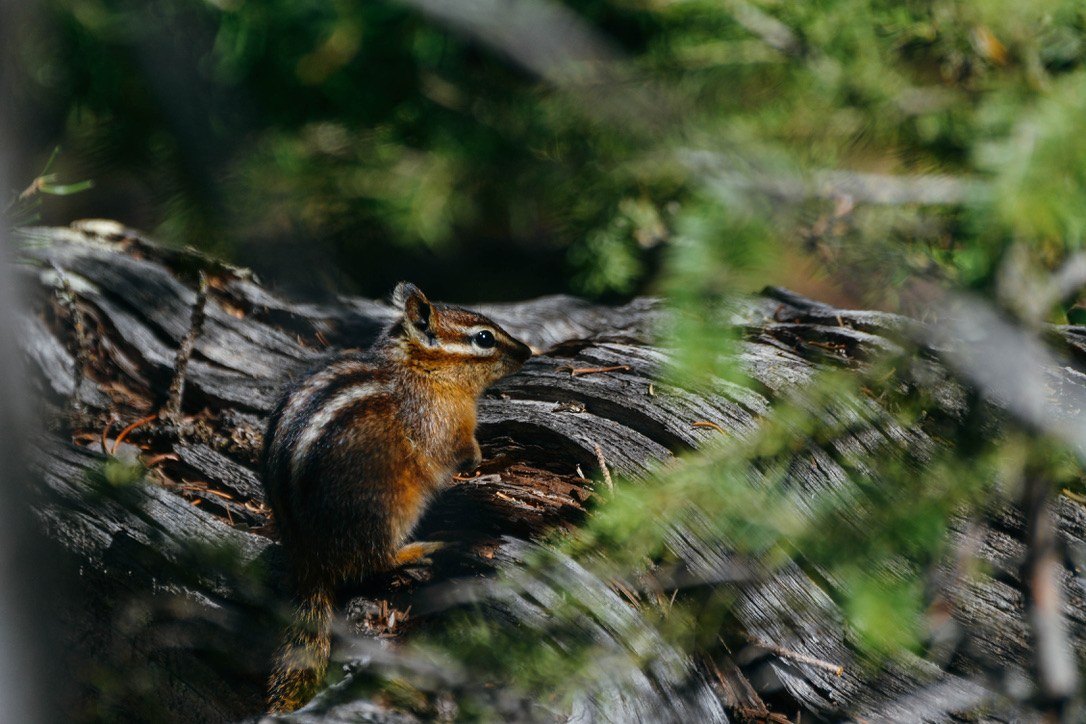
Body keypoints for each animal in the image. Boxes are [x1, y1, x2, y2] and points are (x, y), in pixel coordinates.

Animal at [261, 282, 532, 713]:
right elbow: (458, 448)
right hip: (387, 509)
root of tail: (308, 559)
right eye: (484, 338)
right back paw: (421, 549)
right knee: (375, 560)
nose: (527, 351)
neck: (421, 371)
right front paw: (481, 456)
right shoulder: (441, 424)